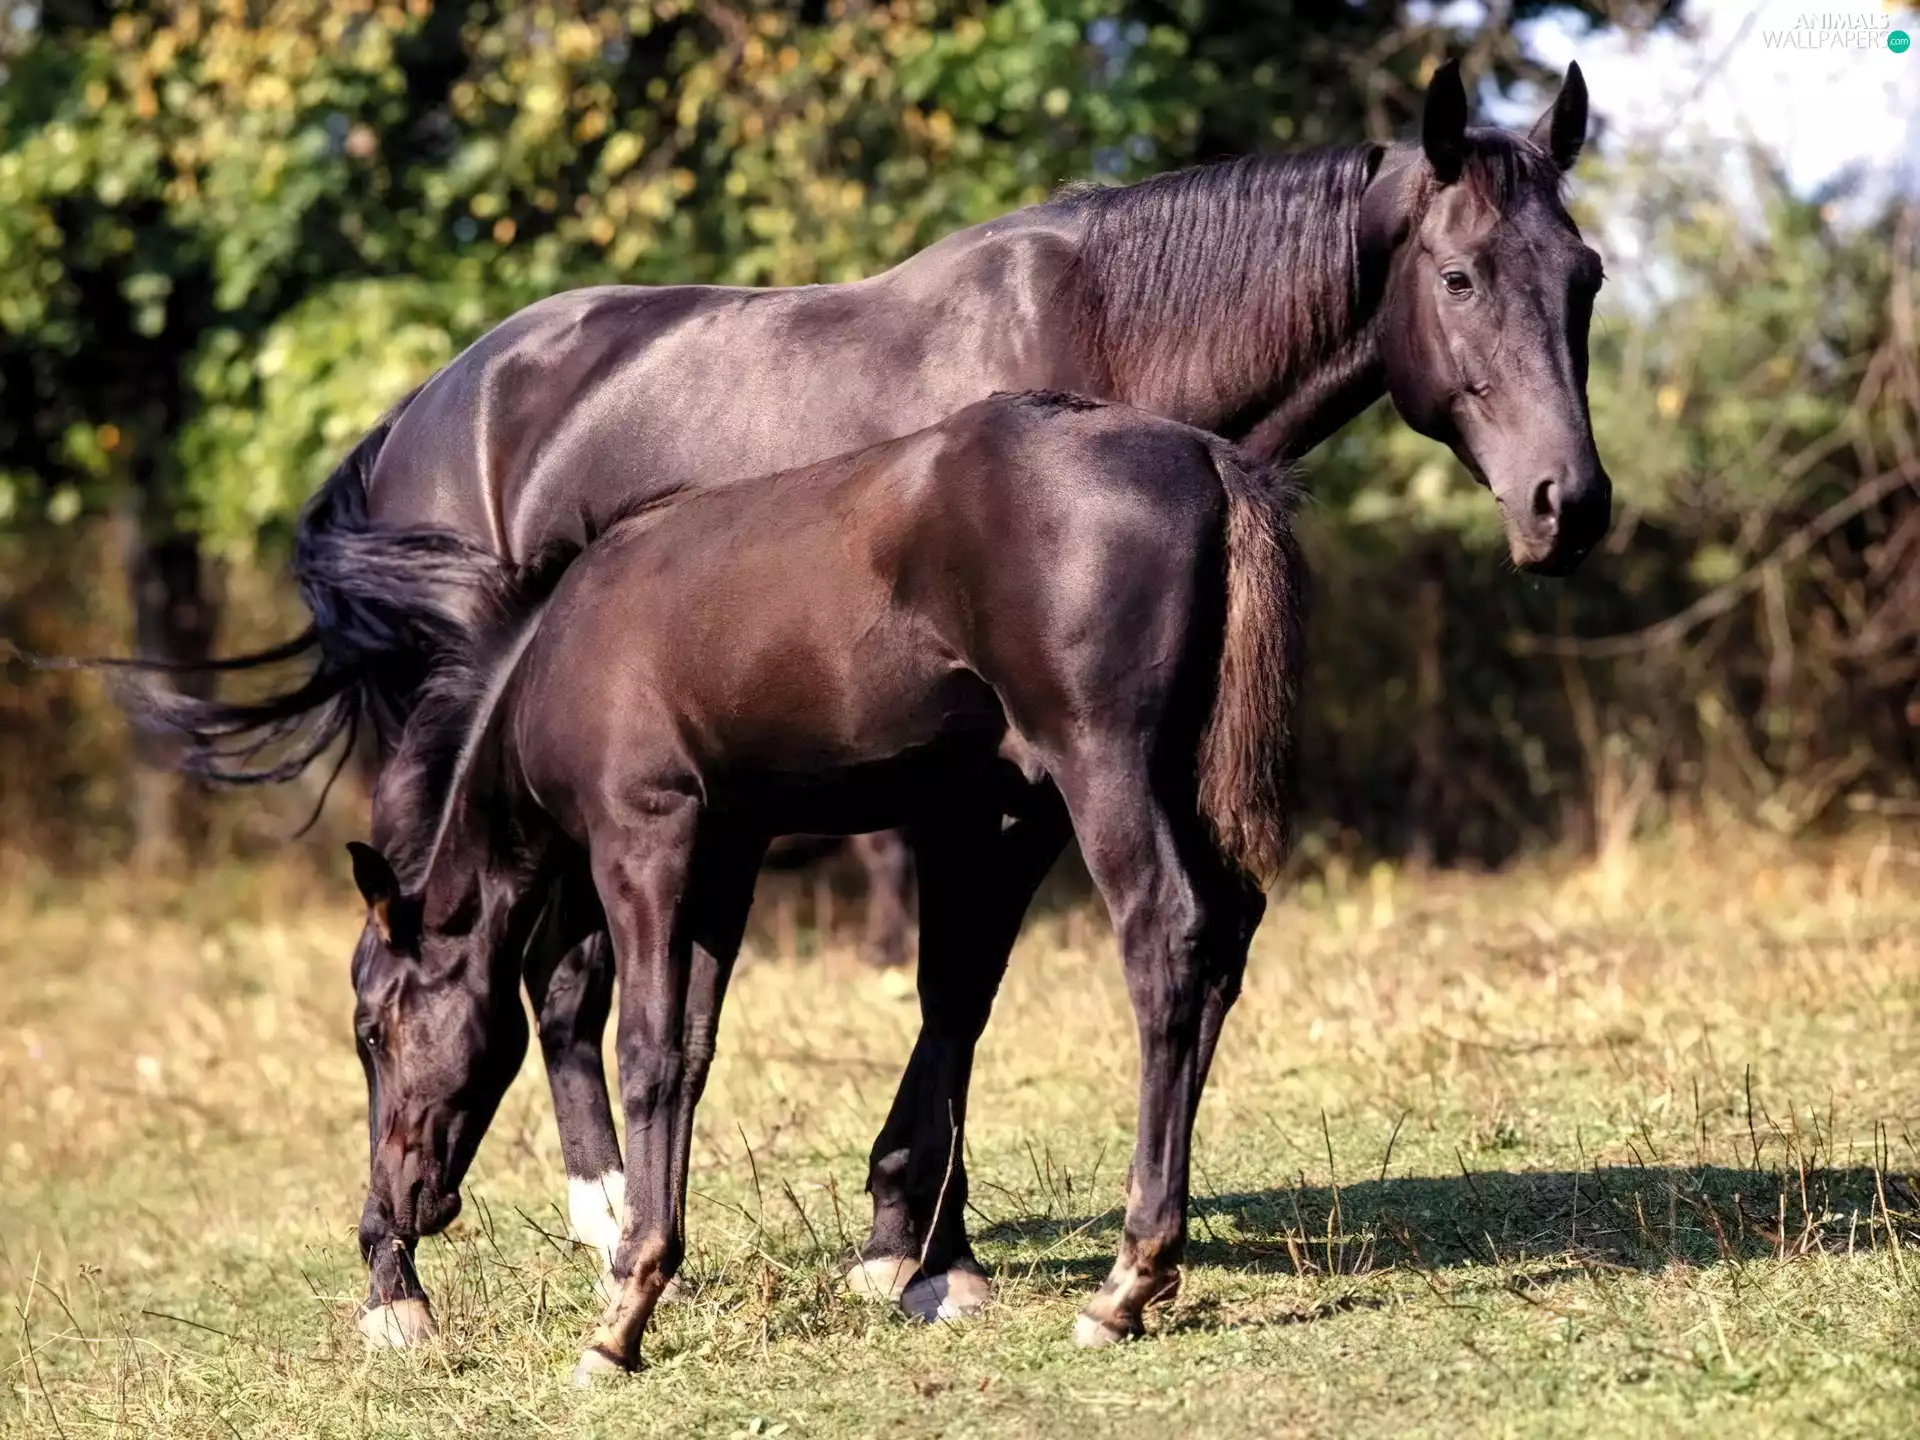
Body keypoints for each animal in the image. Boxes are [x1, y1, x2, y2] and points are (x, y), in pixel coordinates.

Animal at [339, 391, 1305, 1379]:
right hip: (1174, 777)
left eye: (372, 1031)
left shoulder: (644, 843)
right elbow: (690, 1056)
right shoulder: (725, 855)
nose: (396, 1209)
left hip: (1101, 764)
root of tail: (1207, 461)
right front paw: (648, 1275)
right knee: (1225, 936)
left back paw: (1126, 1281)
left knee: (1167, 937)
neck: (554, 652)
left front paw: (623, 1312)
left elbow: (645, 1053)